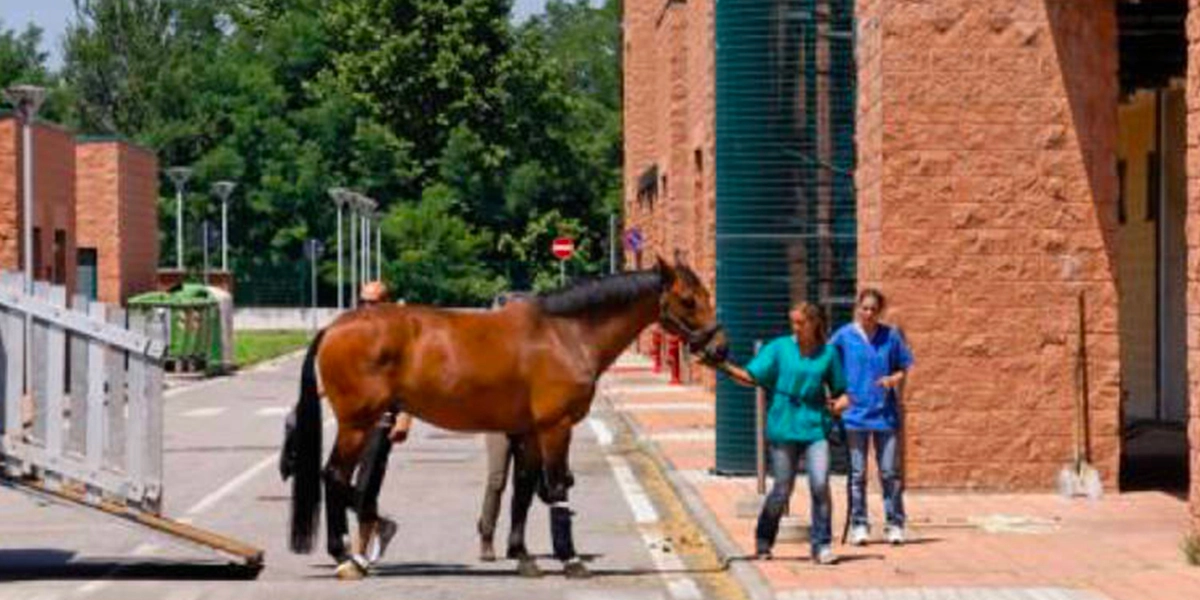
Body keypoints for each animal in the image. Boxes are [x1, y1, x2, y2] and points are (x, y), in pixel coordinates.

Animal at [285, 255, 724, 578]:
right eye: (689, 300)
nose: (720, 347)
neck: (564, 334)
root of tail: (335, 327)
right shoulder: (555, 427)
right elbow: (557, 486)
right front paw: (570, 559)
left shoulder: (526, 431)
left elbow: (524, 490)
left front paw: (522, 555)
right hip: (357, 425)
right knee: (335, 477)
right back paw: (348, 554)